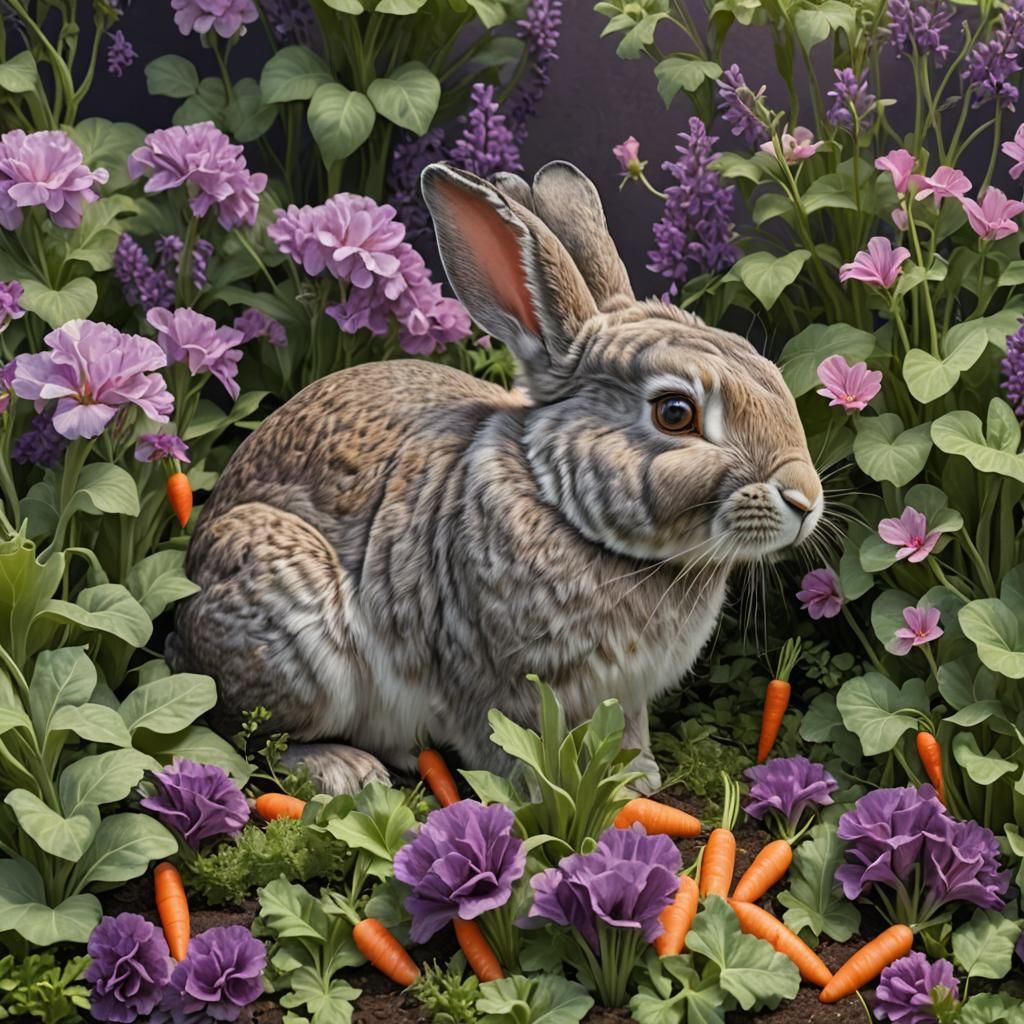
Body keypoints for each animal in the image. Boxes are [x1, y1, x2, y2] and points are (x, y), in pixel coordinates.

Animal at [167, 160, 823, 796]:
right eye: (676, 413)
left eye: (766, 368)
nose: (806, 499)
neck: (565, 511)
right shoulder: (494, 681)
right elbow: (510, 749)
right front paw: (544, 795)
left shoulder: (625, 692)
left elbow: (627, 731)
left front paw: (637, 779)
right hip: (292, 630)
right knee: (253, 735)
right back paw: (344, 769)